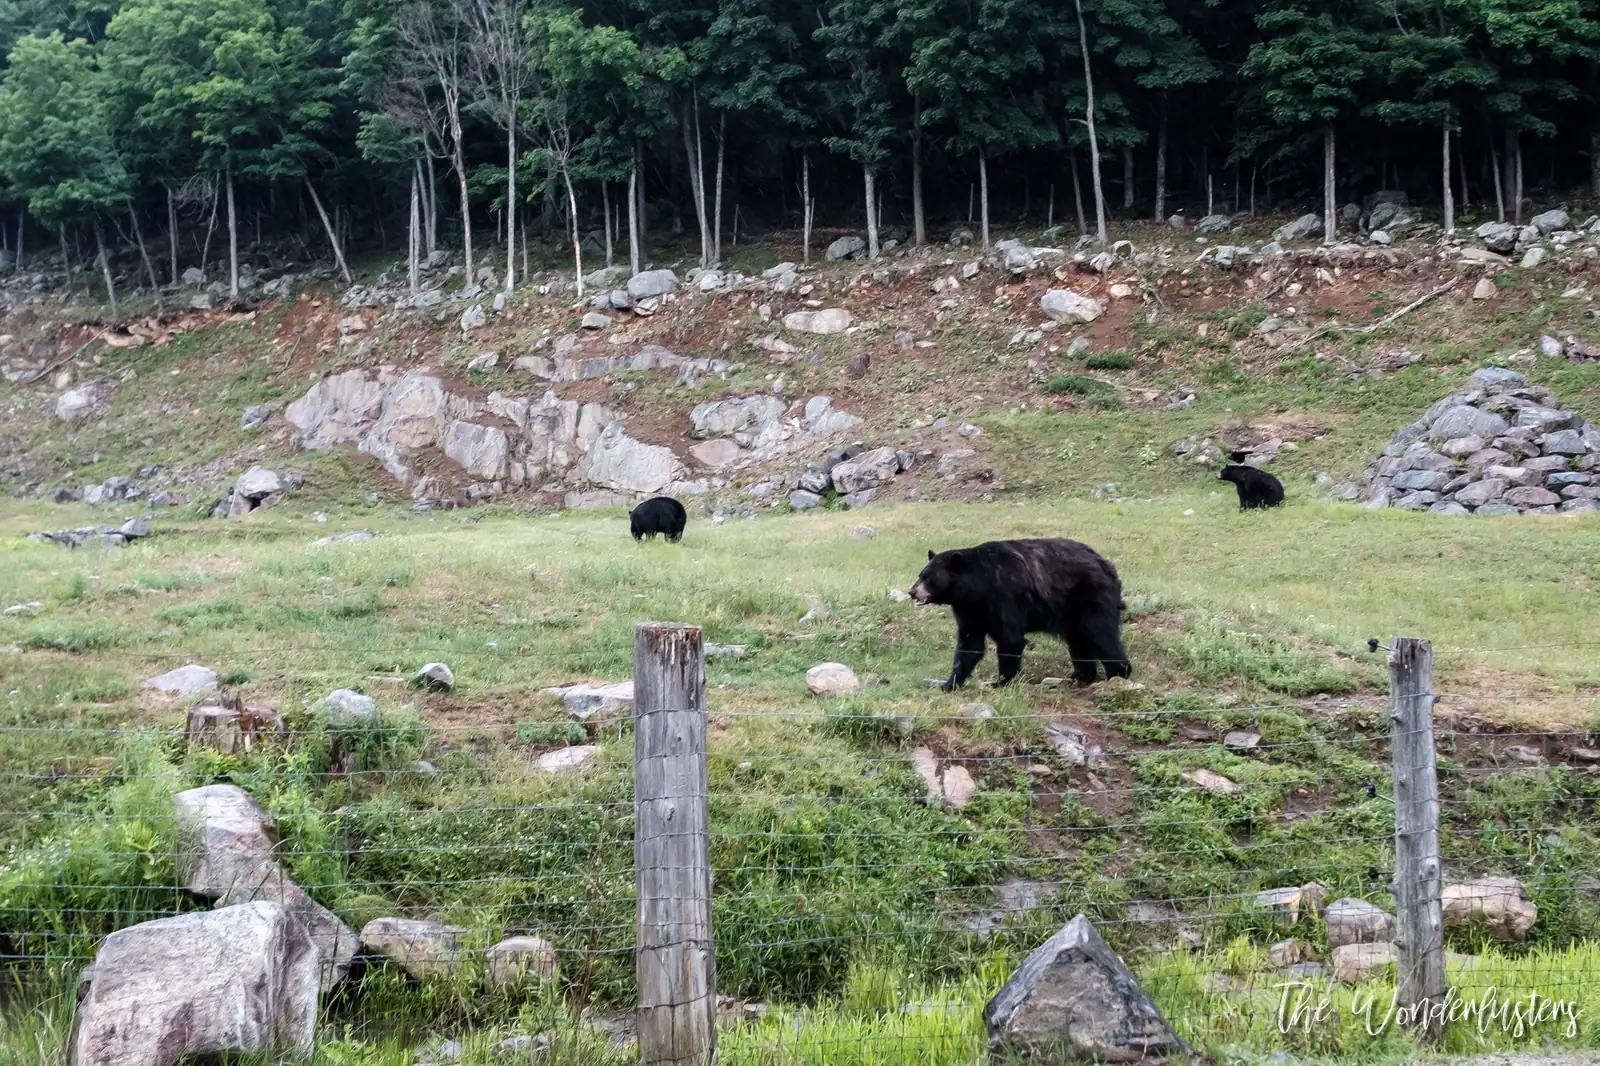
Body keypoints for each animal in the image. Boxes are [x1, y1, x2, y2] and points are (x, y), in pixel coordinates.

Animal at [908, 538, 1131, 690]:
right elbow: (970, 644)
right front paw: (949, 683)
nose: (912, 592)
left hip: (1091, 597)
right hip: (1073, 611)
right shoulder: (970, 609)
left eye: (927, 577)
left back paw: (1118, 674)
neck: (978, 587)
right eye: (920, 575)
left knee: (1101, 634)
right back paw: (1080, 675)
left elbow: (1010, 638)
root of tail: (1107, 565)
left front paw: (1001, 681)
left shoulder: (1005, 596)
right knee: (1078, 640)